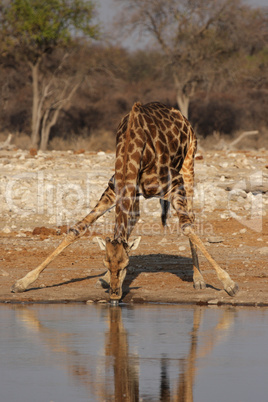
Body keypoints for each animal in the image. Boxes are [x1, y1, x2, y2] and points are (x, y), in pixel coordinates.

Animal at [12, 102, 239, 300]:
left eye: (125, 267)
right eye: (105, 263)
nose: (114, 296)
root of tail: (182, 116)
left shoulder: (174, 184)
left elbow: (186, 227)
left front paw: (229, 284)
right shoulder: (115, 189)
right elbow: (78, 228)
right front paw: (22, 282)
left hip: (189, 164)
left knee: (190, 216)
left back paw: (198, 279)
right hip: (136, 194)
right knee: (135, 217)